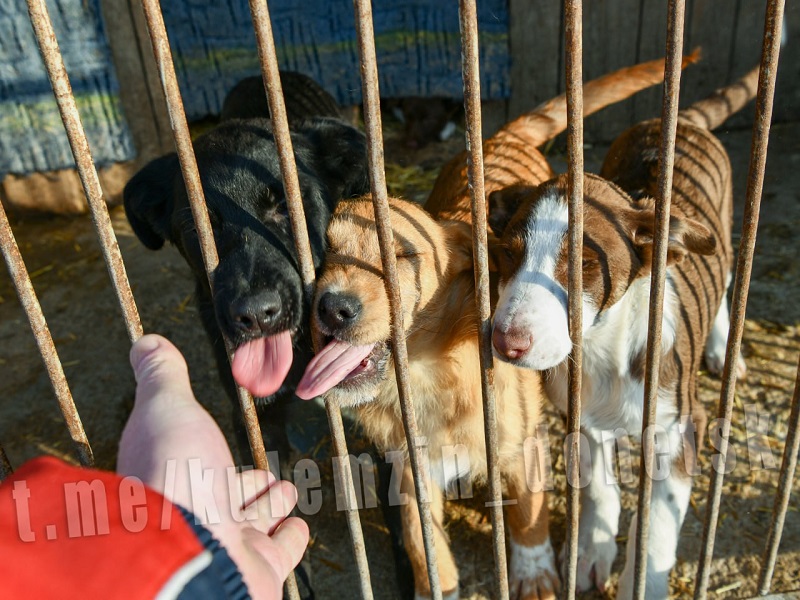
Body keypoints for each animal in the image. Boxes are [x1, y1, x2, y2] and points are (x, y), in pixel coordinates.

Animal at [296, 199, 560, 596]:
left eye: (401, 255)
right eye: (327, 249)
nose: (331, 308)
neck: (432, 377)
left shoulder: (522, 438)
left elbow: (529, 510)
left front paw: (534, 575)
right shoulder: (409, 463)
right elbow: (419, 538)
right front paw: (435, 587)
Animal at [488, 67, 756, 600]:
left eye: (584, 265)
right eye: (507, 254)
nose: (506, 342)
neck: (602, 351)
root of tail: (676, 120)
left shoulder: (679, 429)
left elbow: (656, 527)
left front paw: (642, 580)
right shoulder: (583, 417)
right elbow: (598, 485)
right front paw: (591, 550)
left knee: (724, 283)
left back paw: (722, 348)